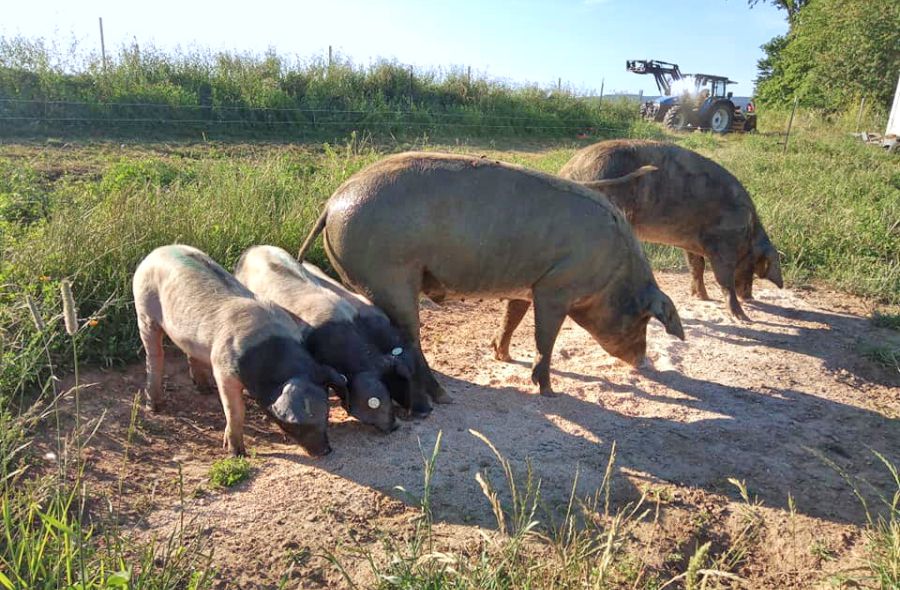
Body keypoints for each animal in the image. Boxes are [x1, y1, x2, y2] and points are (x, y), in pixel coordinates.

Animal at [134, 245, 348, 458]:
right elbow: (235, 410)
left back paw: (205, 389)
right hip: (144, 309)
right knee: (154, 355)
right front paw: (237, 453)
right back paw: (155, 407)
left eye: (326, 412)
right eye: (295, 424)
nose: (325, 451)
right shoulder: (223, 368)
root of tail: (155, 253)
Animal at [296, 153, 684, 402]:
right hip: (389, 277)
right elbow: (545, 339)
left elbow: (512, 318)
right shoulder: (556, 288)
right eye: (642, 318)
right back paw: (444, 396)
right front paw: (548, 391)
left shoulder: (527, 286)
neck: (614, 271)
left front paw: (502, 356)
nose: (643, 363)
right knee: (410, 339)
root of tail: (331, 204)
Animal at [560, 140, 784, 320]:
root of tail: (568, 172)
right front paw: (743, 318)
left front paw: (702, 298)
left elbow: (697, 267)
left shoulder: (691, 243)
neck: (747, 230)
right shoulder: (722, 246)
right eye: (753, 263)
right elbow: (724, 279)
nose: (749, 296)